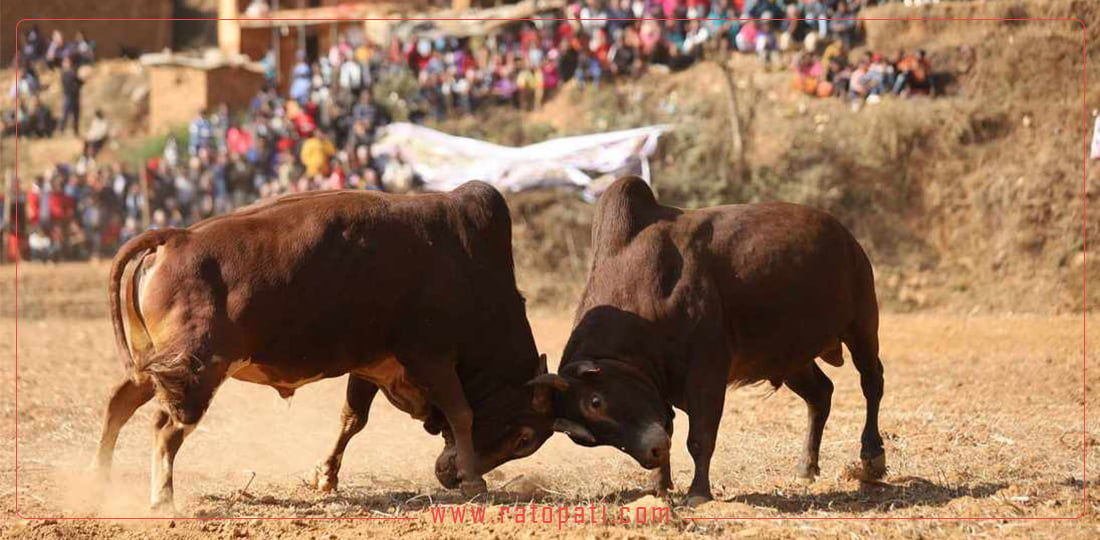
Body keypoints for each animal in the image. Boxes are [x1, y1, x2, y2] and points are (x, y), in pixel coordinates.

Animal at [92, 183, 558, 510]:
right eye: (523, 437)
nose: (449, 475)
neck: (469, 268)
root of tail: (176, 238)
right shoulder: (433, 358)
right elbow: (462, 413)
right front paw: (475, 481)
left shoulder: (374, 364)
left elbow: (352, 419)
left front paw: (326, 477)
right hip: (197, 369)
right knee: (166, 427)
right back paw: (162, 498)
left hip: (156, 364)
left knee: (118, 404)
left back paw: (101, 479)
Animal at [536, 178, 888, 508]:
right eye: (587, 438)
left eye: (596, 402)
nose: (651, 452)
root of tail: (845, 236)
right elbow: (669, 429)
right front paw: (659, 486)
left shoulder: (707, 371)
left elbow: (700, 438)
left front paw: (698, 493)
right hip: (791, 359)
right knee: (821, 395)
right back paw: (806, 467)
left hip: (861, 325)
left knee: (872, 381)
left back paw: (872, 456)